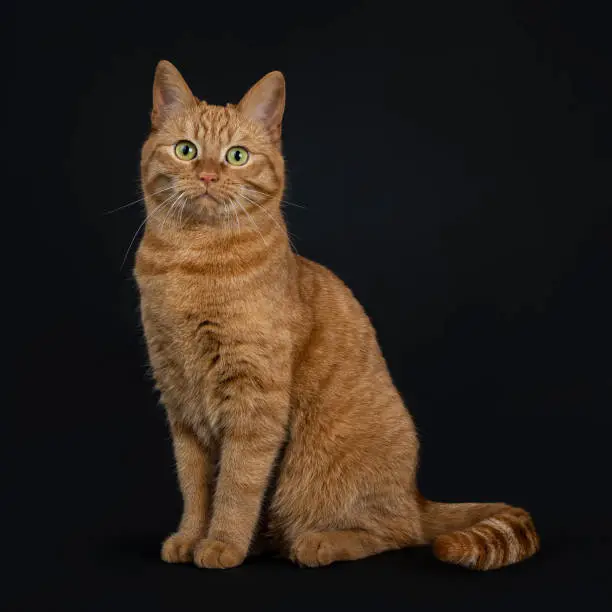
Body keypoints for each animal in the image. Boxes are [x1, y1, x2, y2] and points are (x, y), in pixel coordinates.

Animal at [135, 61, 540, 568]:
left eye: (237, 156)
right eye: (186, 150)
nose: (208, 176)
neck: (190, 261)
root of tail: (416, 495)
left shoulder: (255, 402)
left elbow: (235, 486)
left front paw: (223, 544)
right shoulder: (180, 401)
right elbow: (194, 486)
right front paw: (190, 538)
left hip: (318, 474)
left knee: (395, 532)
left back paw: (318, 543)